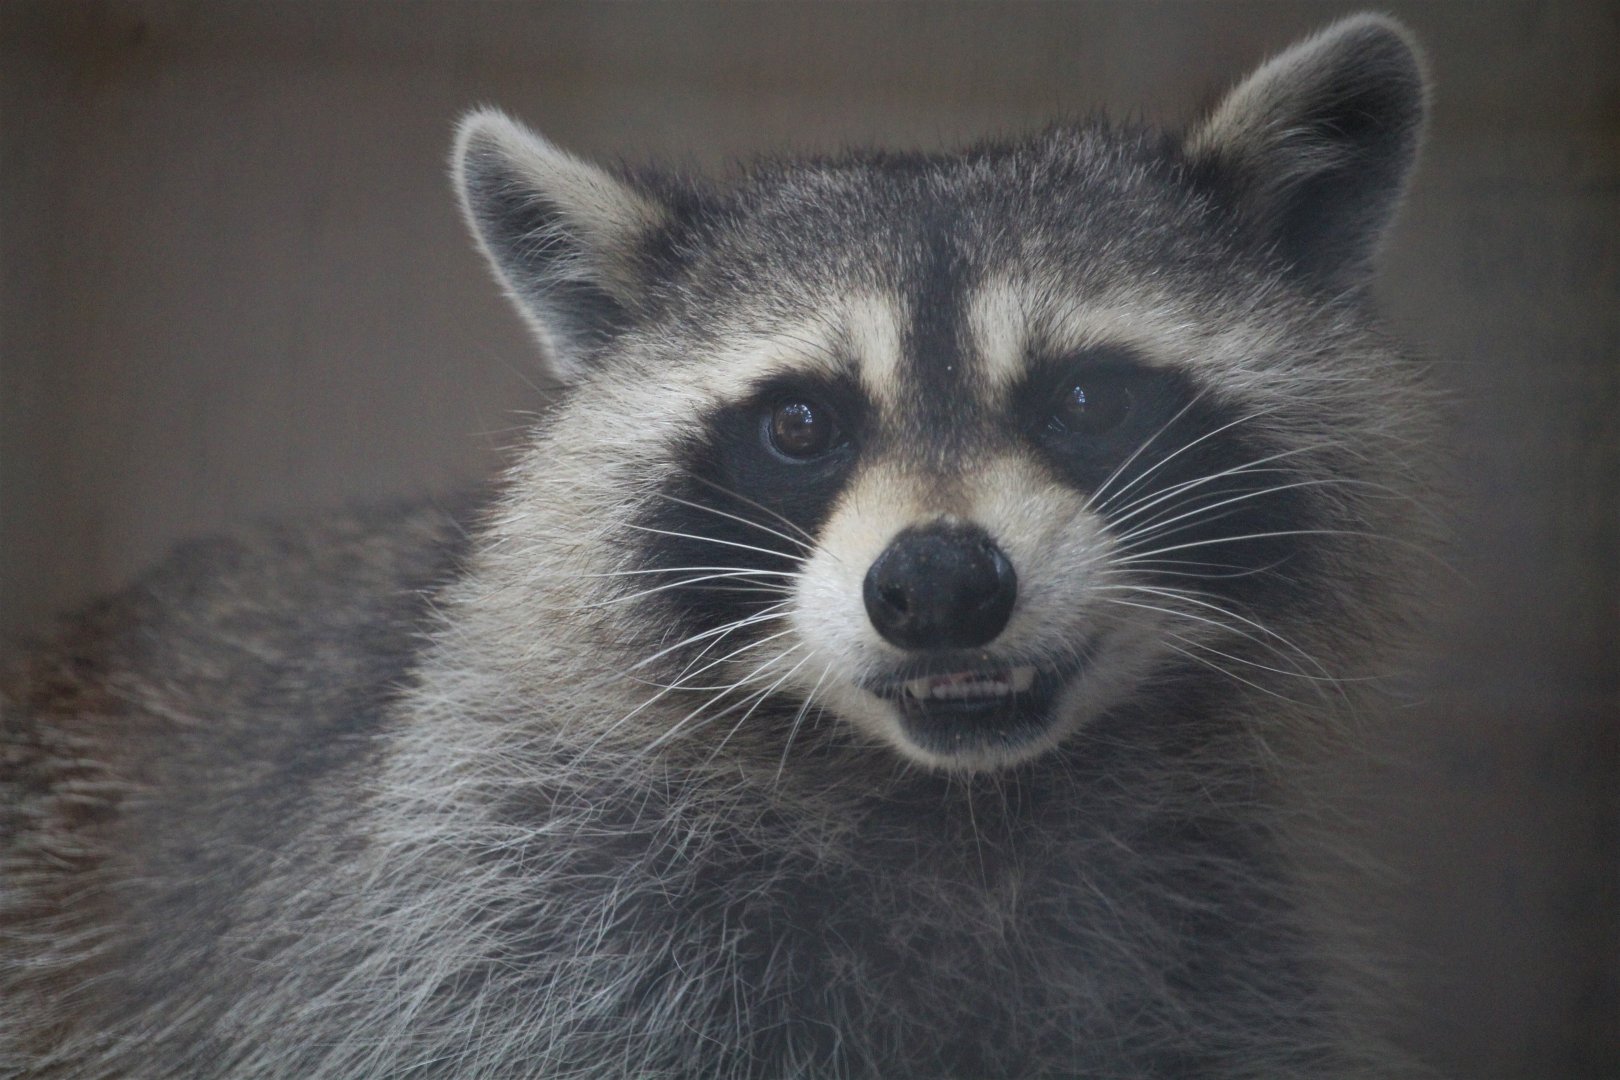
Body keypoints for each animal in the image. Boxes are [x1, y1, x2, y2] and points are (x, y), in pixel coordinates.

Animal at [2, 14, 1438, 1079]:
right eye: (798, 424)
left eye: (1087, 400)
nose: (938, 585)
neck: (959, 807)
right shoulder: (493, 927)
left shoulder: (1212, 955)